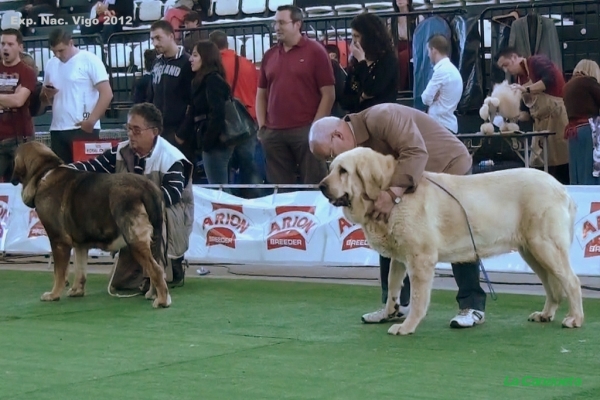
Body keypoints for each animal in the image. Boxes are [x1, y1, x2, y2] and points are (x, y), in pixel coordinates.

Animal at [10, 142, 172, 308]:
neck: (44, 173)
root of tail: (147, 187)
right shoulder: (80, 245)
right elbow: (80, 269)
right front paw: (77, 291)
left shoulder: (58, 241)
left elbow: (59, 272)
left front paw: (53, 294)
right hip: (154, 240)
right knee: (157, 266)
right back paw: (153, 294)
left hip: (135, 240)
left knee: (156, 270)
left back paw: (162, 301)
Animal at [322, 147, 584, 334]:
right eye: (331, 168)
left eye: (343, 170)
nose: (322, 186)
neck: (392, 192)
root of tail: (562, 187)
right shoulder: (401, 257)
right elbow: (393, 286)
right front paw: (388, 312)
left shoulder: (421, 258)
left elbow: (418, 298)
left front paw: (406, 327)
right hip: (531, 251)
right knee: (552, 286)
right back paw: (545, 314)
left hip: (546, 246)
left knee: (571, 281)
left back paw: (575, 319)